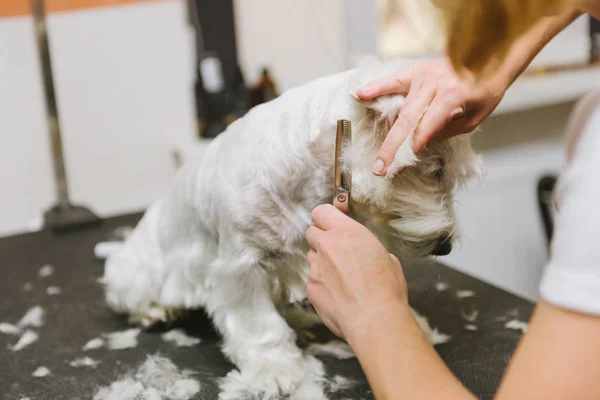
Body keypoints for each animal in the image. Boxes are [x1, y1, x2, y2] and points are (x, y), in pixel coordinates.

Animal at [101, 59, 480, 400]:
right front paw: (276, 369)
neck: (305, 180)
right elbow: (258, 323)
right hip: (139, 270)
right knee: (127, 295)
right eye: (437, 171)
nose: (445, 245)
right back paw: (155, 311)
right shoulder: (239, 268)